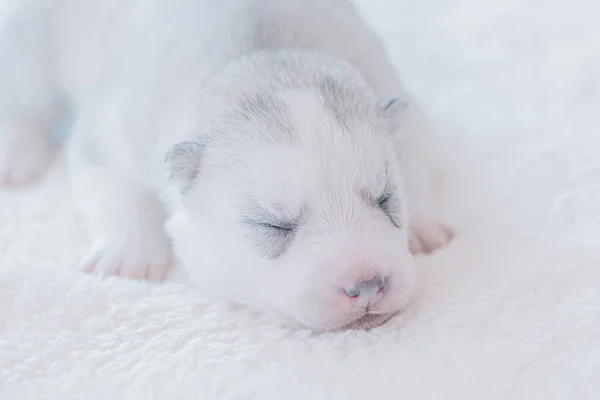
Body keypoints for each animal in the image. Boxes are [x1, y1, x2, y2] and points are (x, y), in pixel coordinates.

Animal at [0, 0, 450, 332]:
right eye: (273, 226)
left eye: (386, 198)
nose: (368, 285)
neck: (257, 59)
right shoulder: (109, 134)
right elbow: (114, 186)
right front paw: (128, 255)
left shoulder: (396, 99)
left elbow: (417, 153)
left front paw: (424, 227)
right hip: (34, 38)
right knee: (26, 94)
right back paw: (17, 154)